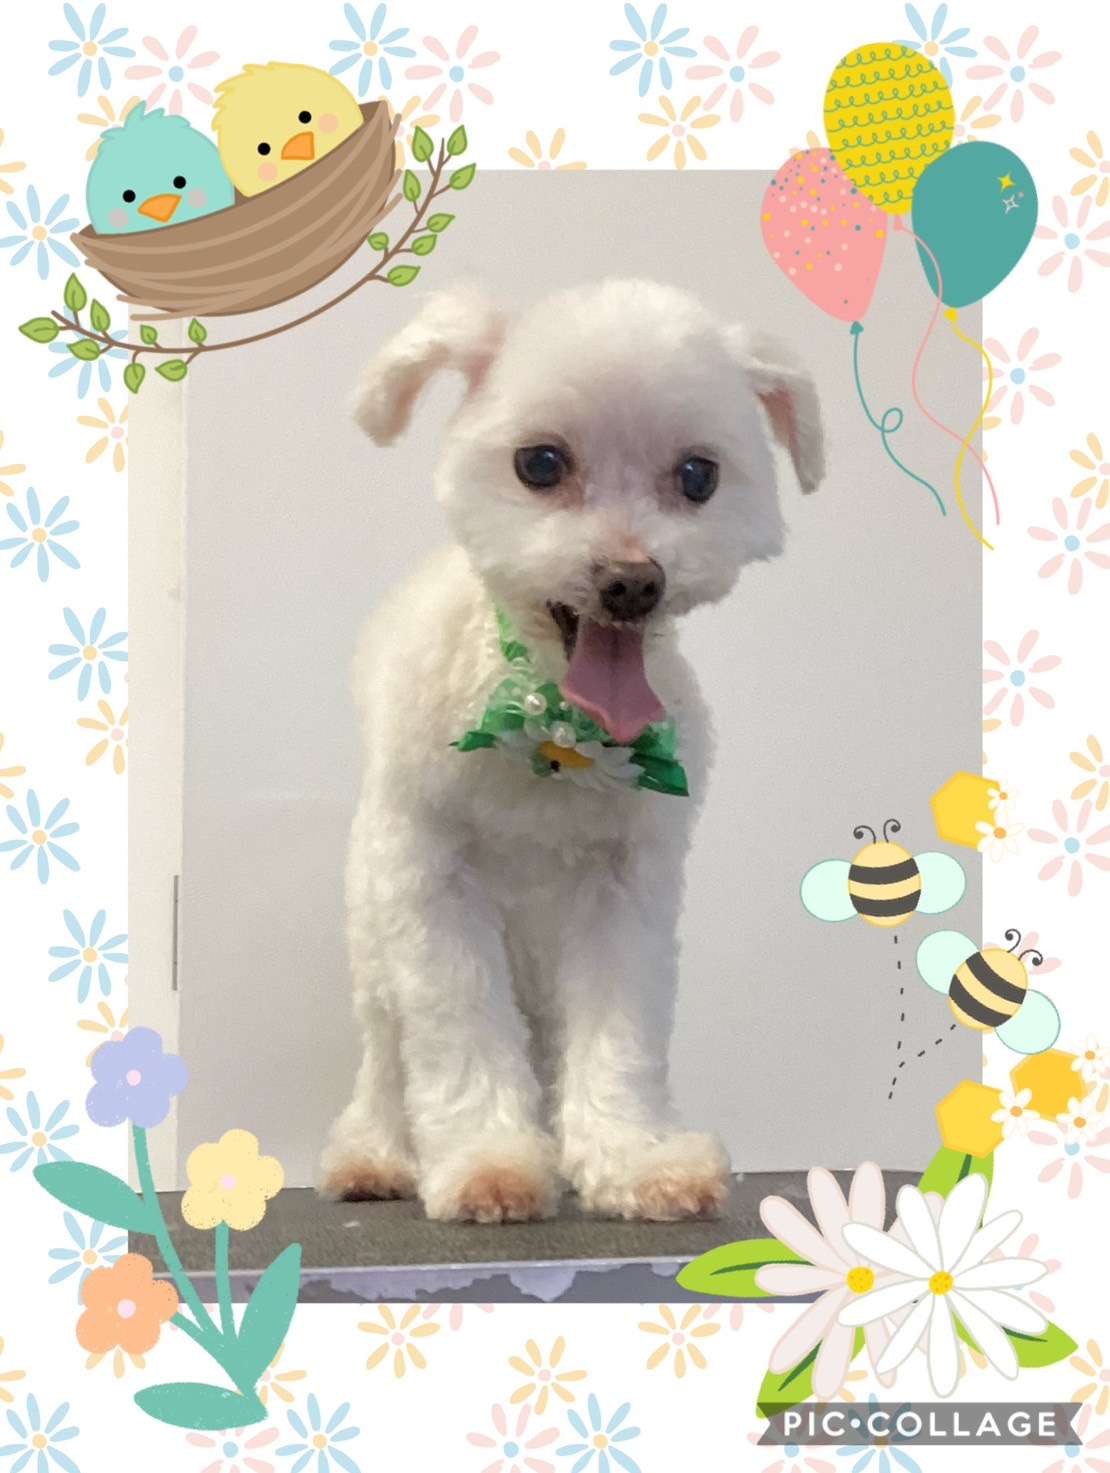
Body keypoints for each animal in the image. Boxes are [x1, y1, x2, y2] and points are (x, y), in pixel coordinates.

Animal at [319, 278, 825, 1222]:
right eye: (541, 464)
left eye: (697, 476)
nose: (632, 581)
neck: (554, 725)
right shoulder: (435, 888)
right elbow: (456, 1030)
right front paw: (488, 1161)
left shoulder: (626, 891)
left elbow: (620, 1037)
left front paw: (633, 1159)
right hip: (374, 935)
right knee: (384, 1053)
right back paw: (373, 1154)